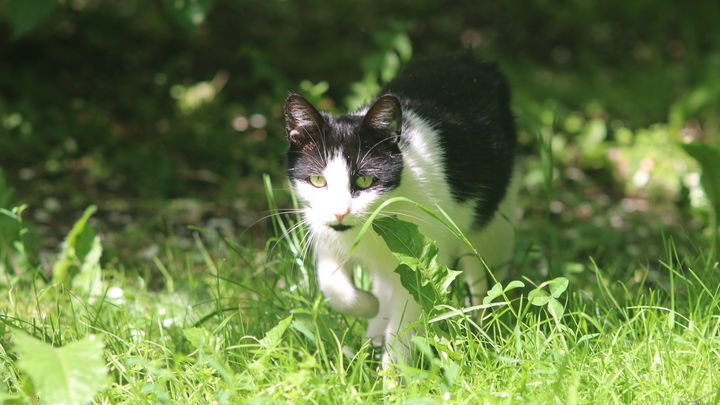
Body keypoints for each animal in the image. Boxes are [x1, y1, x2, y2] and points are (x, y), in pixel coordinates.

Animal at [282, 54, 516, 362]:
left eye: (365, 180)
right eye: (318, 180)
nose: (340, 213)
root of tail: (472, 59)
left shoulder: (422, 263)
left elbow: (406, 324)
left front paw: (393, 372)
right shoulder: (323, 233)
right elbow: (332, 285)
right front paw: (368, 306)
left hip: (494, 220)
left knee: (488, 275)